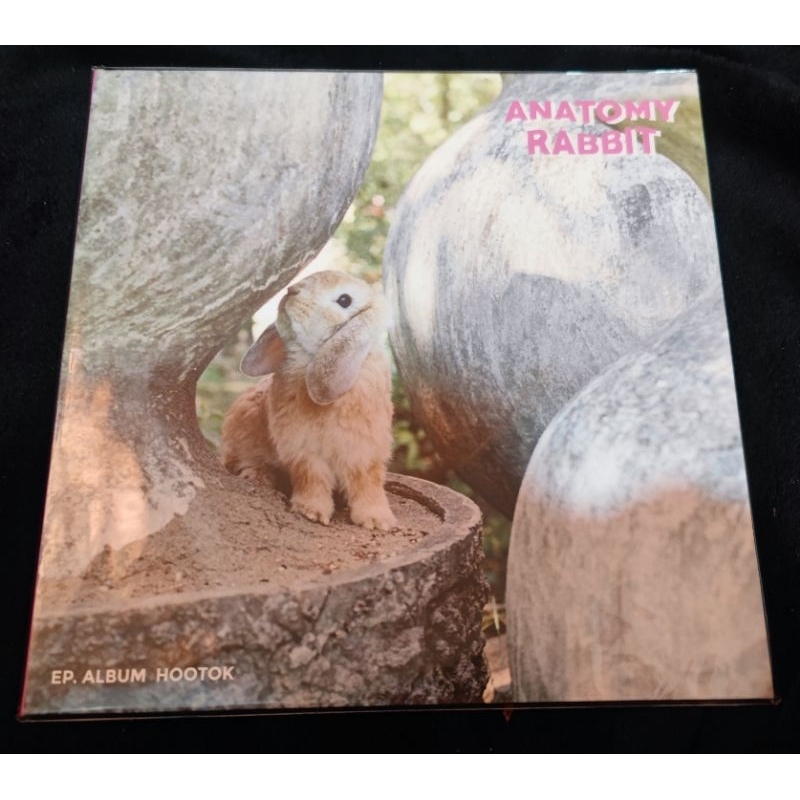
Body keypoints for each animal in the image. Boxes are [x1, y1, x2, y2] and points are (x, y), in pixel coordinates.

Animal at [220, 270, 397, 531]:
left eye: (345, 300)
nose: (291, 291)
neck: (312, 358)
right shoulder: (303, 450)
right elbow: (311, 479)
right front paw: (311, 512)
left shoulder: (364, 451)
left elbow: (368, 483)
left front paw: (377, 521)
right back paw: (257, 475)